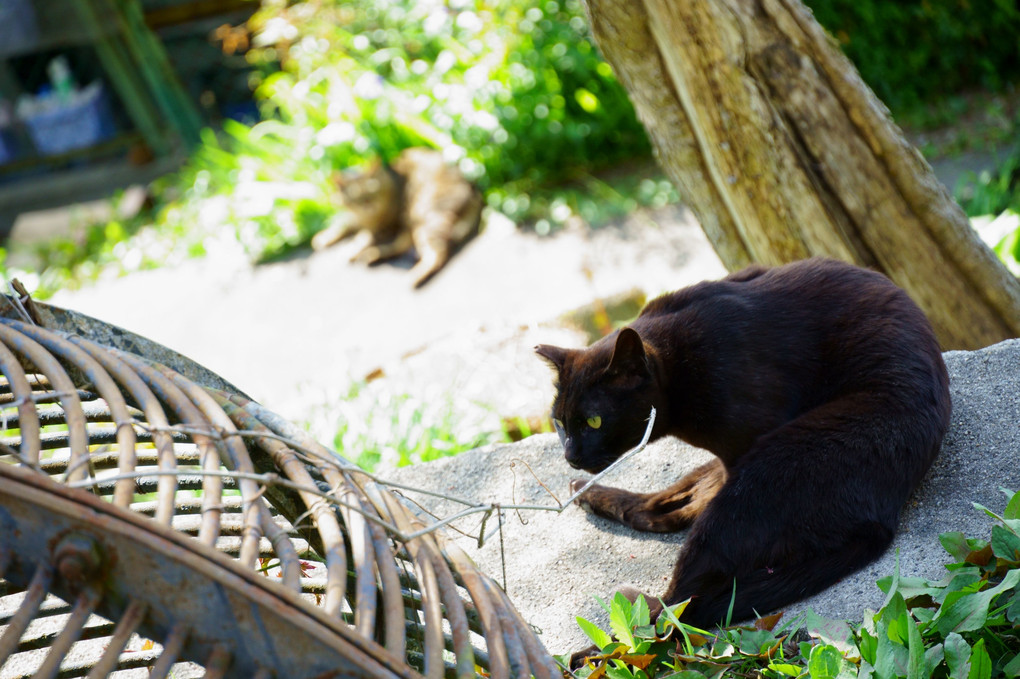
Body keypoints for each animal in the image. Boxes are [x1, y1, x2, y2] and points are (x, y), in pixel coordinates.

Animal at [312, 146, 483, 287]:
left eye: (372, 191)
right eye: (355, 197)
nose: (368, 204)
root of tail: (475, 191)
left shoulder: (385, 225)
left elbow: (363, 236)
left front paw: (351, 248)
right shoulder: (355, 218)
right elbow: (342, 224)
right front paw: (324, 237)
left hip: (423, 215)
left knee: (438, 254)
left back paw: (414, 276)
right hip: (413, 224)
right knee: (403, 246)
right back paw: (372, 255)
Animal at [538, 256, 950, 636]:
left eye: (594, 422)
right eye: (559, 422)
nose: (570, 457)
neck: (679, 368)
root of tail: (881, 524)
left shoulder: (745, 442)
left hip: (772, 465)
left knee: (679, 607)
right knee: (665, 513)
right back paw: (586, 494)